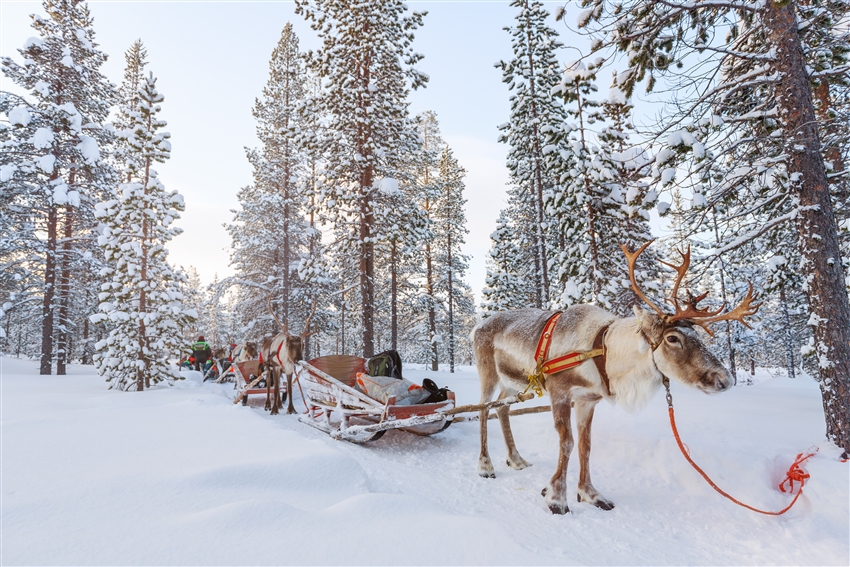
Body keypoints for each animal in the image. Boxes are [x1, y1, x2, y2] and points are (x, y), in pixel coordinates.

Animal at [472, 241, 760, 515]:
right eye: (672, 338)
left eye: (698, 336)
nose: (725, 379)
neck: (602, 351)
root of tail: (477, 327)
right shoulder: (560, 392)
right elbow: (567, 443)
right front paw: (556, 498)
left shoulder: (587, 400)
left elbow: (585, 446)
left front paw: (590, 494)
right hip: (488, 373)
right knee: (484, 409)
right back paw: (486, 466)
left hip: (512, 382)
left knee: (502, 408)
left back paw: (516, 459)